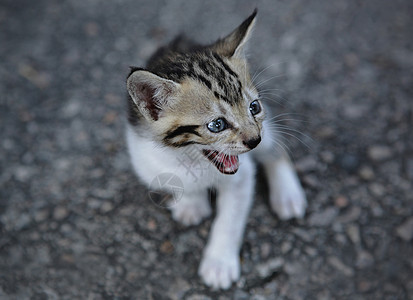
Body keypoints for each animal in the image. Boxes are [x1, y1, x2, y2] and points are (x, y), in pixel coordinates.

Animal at [125, 10, 306, 290]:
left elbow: (229, 220)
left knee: (276, 149)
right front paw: (191, 204)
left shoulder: (243, 175)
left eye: (254, 107)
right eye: (216, 125)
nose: (254, 140)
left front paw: (219, 264)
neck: (189, 160)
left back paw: (287, 195)